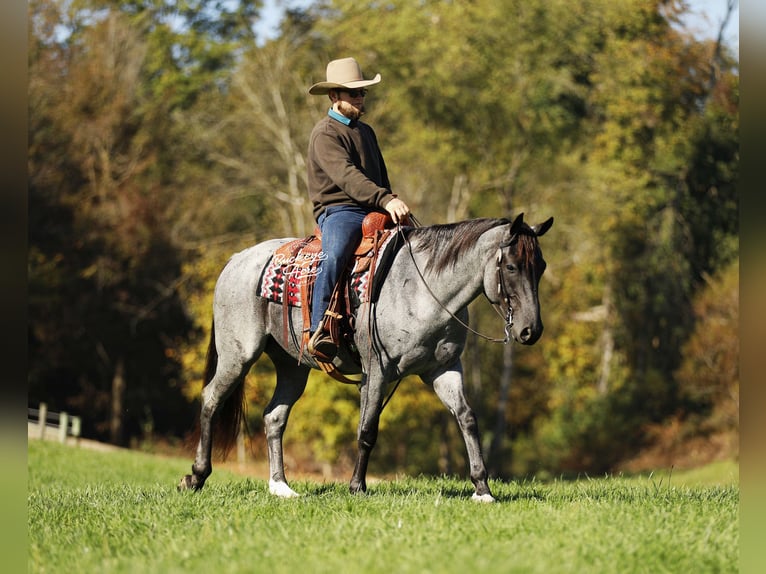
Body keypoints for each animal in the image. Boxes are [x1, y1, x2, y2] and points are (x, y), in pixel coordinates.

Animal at [178, 212, 553, 502]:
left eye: (541, 266)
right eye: (511, 266)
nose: (531, 330)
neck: (423, 289)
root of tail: (236, 259)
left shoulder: (444, 369)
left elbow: (467, 419)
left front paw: (482, 488)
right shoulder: (378, 370)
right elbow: (367, 429)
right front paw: (357, 486)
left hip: (292, 366)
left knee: (274, 416)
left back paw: (281, 486)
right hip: (238, 354)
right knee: (211, 399)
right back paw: (196, 476)